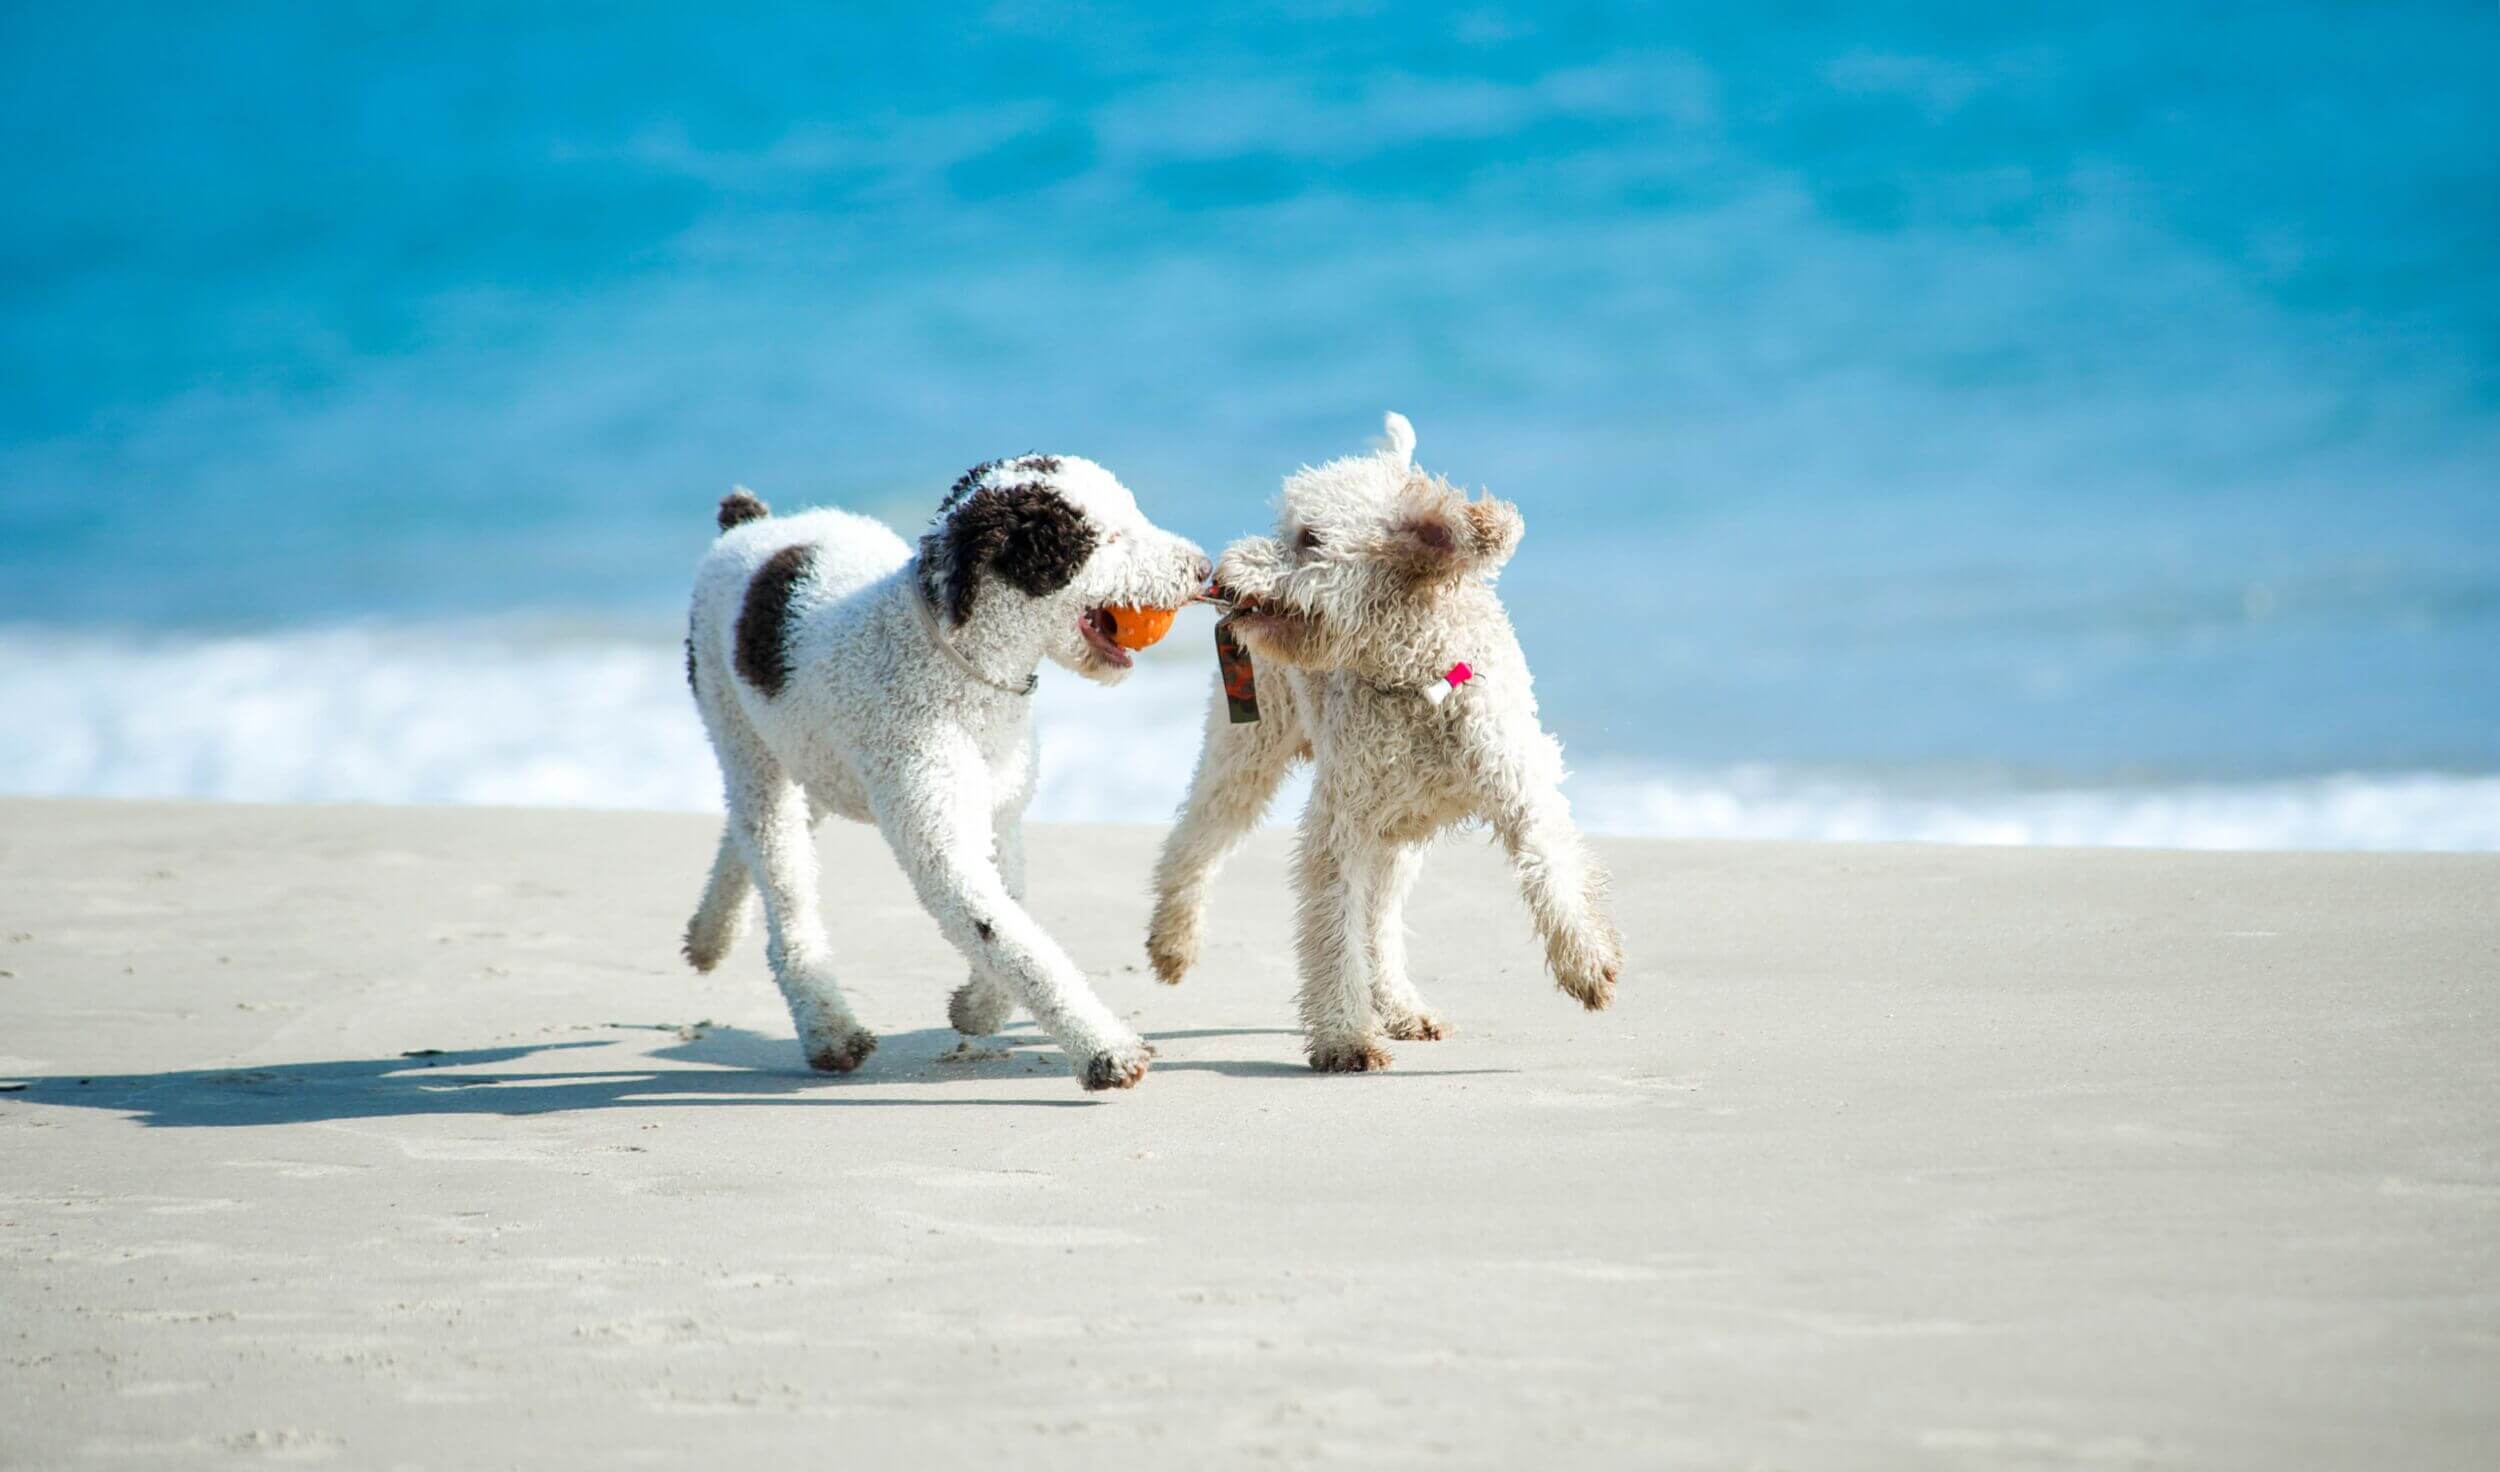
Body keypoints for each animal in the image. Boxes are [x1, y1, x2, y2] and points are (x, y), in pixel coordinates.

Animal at [685, 459, 1210, 1089]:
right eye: (1105, 537)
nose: (1205, 567)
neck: (959, 667)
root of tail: (749, 525)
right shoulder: (942, 842)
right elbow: (1013, 939)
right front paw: (1104, 1049)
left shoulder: (1001, 815)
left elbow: (1011, 914)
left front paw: (979, 1007)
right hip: (741, 736)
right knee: (783, 882)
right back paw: (827, 1029)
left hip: (809, 752)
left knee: (753, 836)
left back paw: (708, 935)